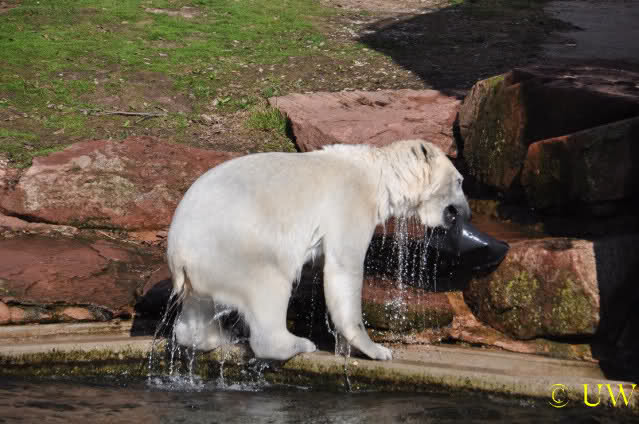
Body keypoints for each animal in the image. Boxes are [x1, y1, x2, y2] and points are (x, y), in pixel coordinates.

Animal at [166, 139, 470, 361]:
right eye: (459, 181)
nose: (465, 212)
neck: (377, 175)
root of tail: (179, 251)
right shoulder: (350, 203)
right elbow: (344, 267)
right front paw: (377, 350)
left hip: (205, 268)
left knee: (198, 307)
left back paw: (215, 337)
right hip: (237, 247)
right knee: (269, 285)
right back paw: (298, 344)